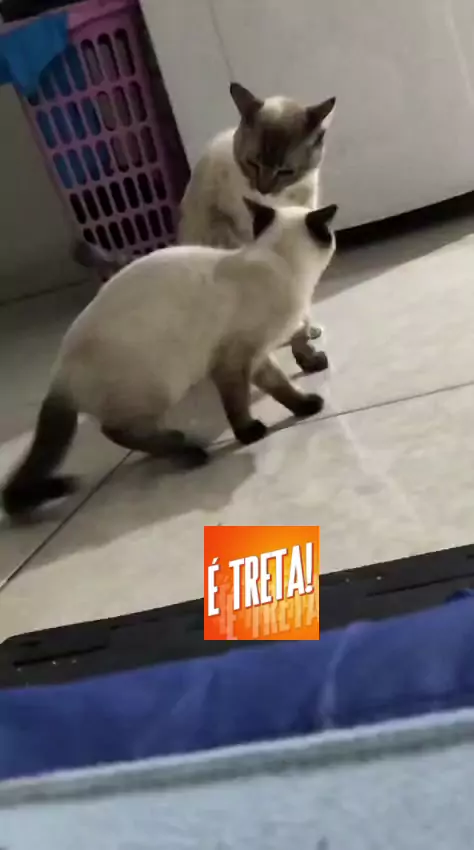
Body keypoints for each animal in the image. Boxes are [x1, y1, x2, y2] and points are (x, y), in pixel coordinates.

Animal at [3, 201, 337, 517]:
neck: (281, 263)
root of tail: (58, 376)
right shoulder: (233, 360)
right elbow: (238, 404)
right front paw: (250, 433)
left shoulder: (256, 356)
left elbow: (281, 387)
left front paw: (306, 405)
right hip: (163, 384)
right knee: (114, 431)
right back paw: (188, 451)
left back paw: (173, 441)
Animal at [76, 82, 336, 373]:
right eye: (253, 164)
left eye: (286, 172)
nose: (263, 189)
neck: (282, 200)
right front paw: (305, 352)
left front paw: (307, 341)